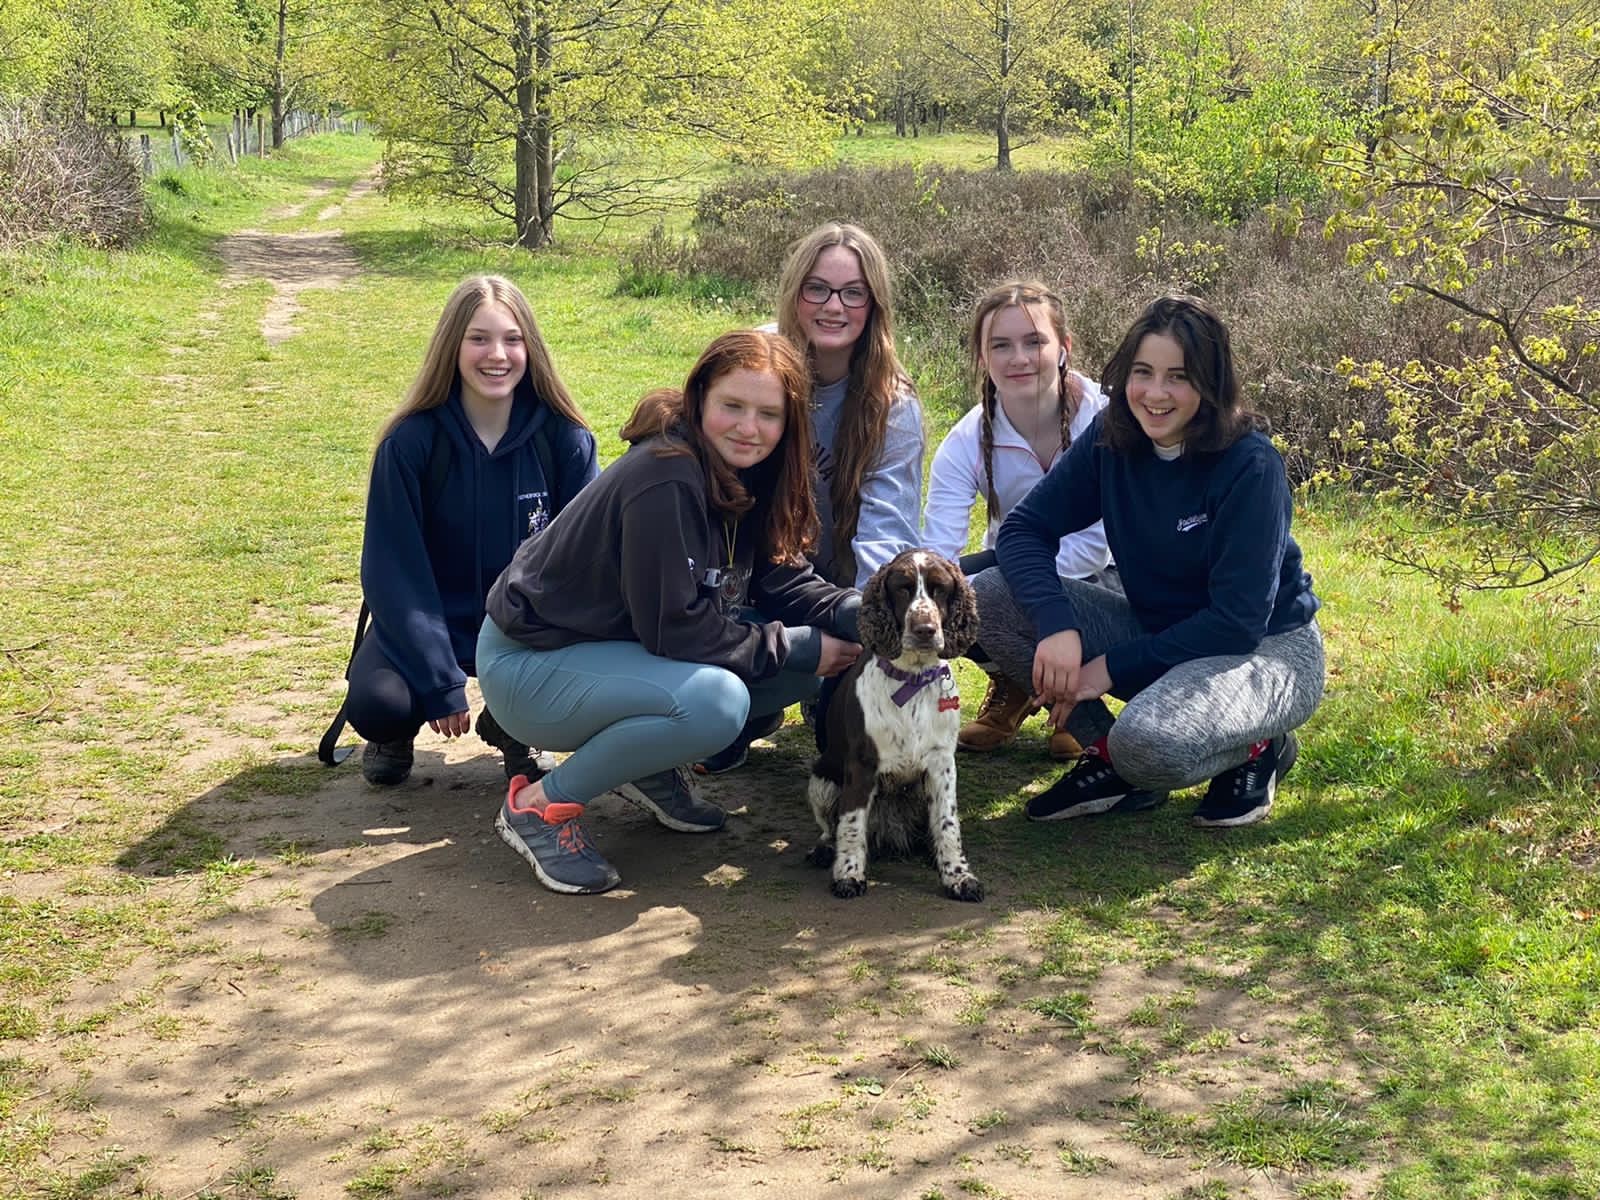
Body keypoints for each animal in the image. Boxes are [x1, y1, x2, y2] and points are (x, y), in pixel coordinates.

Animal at [806, 547, 979, 902]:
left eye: (940, 588)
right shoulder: (861, 764)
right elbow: (851, 824)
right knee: (831, 827)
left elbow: (947, 824)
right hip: (822, 780)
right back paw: (825, 850)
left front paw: (958, 876)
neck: (912, 679)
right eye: (903, 588)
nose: (925, 628)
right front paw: (849, 875)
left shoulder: (942, 764)